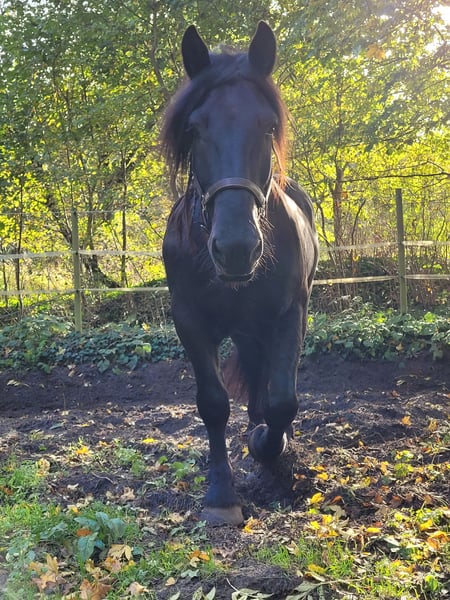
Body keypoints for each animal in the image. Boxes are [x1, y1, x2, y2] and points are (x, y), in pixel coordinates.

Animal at [162, 21, 319, 525]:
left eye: (267, 127)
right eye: (194, 129)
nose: (235, 249)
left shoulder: (291, 314)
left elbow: (284, 400)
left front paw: (269, 446)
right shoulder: (189, 320)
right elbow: (213, 404)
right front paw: (221, 495)